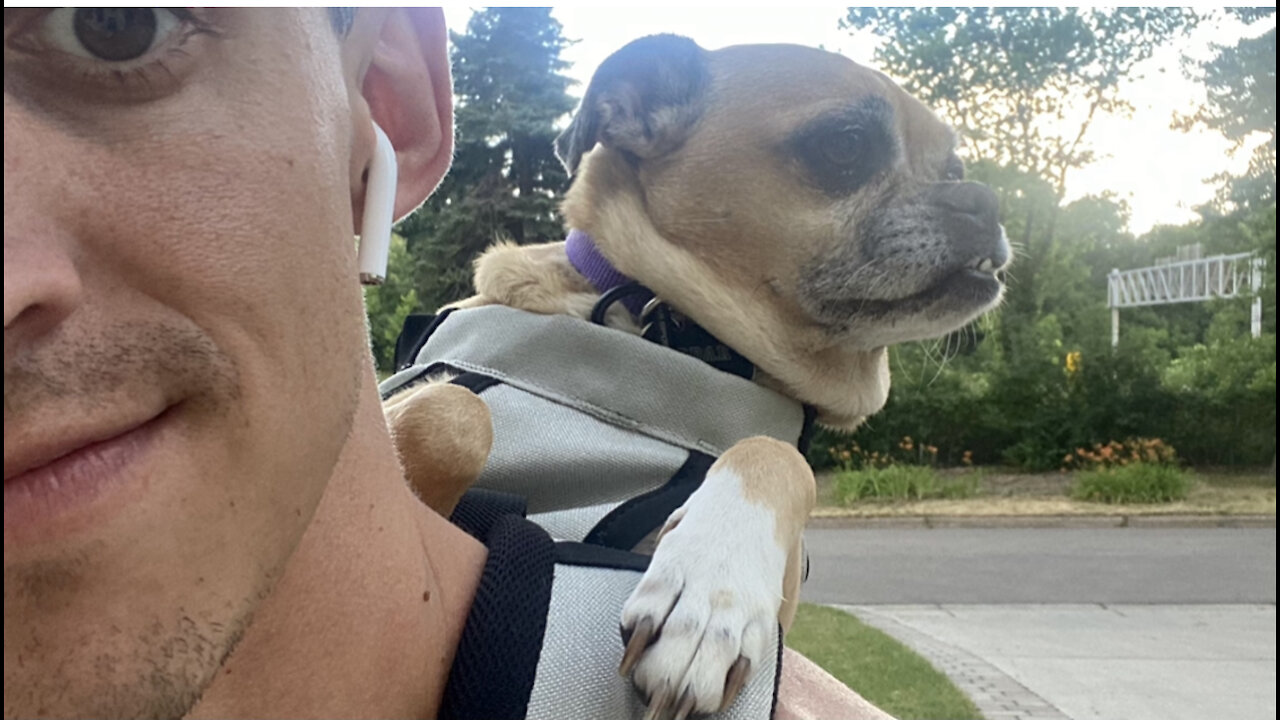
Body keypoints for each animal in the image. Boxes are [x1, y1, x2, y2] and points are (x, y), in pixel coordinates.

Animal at [384, 35, 1003, 717]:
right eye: (844, 144)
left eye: (953, 168)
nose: (987, 201)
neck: (670, 331)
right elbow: (453, 412)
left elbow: (778, 454)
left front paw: (712, 598)